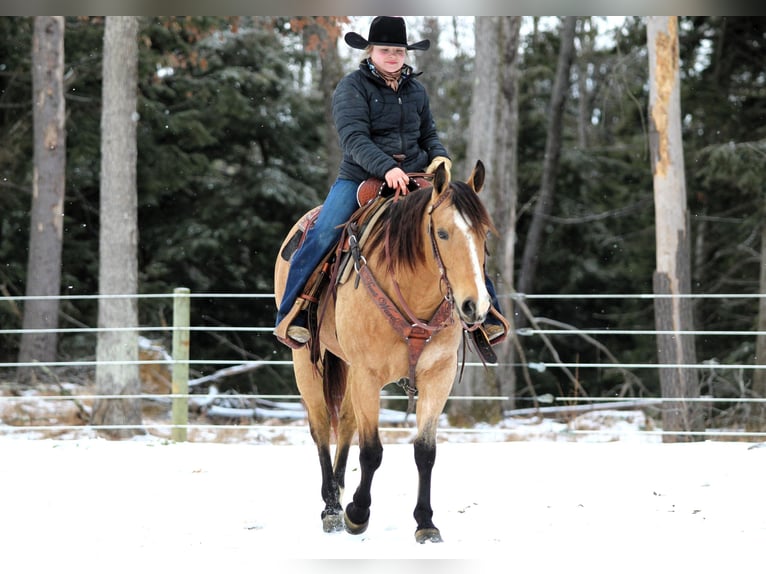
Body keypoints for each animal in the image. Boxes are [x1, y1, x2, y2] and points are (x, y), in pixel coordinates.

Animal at [272, 161, 496, 544]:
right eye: (442, 233)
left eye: (484, 234)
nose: (475, 306)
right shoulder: (368, 375)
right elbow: (372, 451)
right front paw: (357, 514)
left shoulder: (438, 376)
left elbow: (425, 451)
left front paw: (426, 522)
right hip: (305, 360)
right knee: (321, 426)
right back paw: (332, 508)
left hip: (345, 365)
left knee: (346, 423)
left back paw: (339, 491)